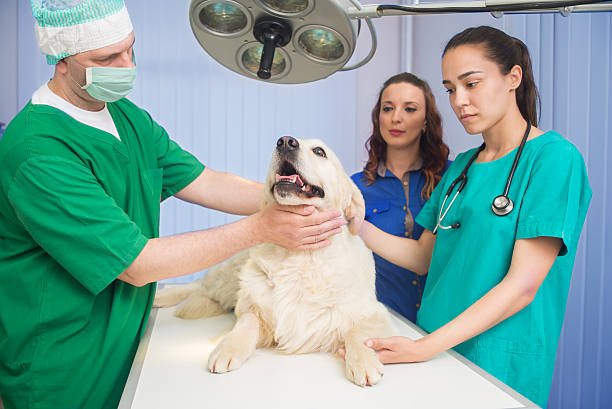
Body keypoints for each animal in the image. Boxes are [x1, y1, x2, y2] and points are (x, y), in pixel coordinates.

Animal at [153, 136, 392, 386]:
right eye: (284, 142)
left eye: (319, 151)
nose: (285, 142)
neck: (300, 257)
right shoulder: (251, 308)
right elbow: (246, 324)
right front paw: (228, 348)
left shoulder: (376, 313)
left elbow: (359, 332)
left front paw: (363, 360)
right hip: (227, 278)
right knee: (197, 285)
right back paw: (162, 296)